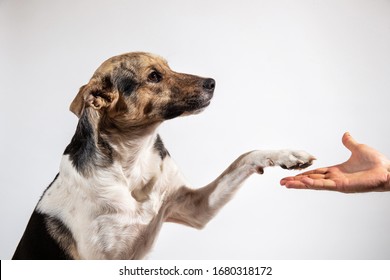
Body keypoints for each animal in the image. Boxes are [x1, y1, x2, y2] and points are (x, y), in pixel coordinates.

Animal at [12, 51, 316, 260]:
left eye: (168, 67)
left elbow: (243, 157)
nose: (212, 82)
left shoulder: (196, 207)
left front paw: (286, 155)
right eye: (154, 76)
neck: (132, 159)